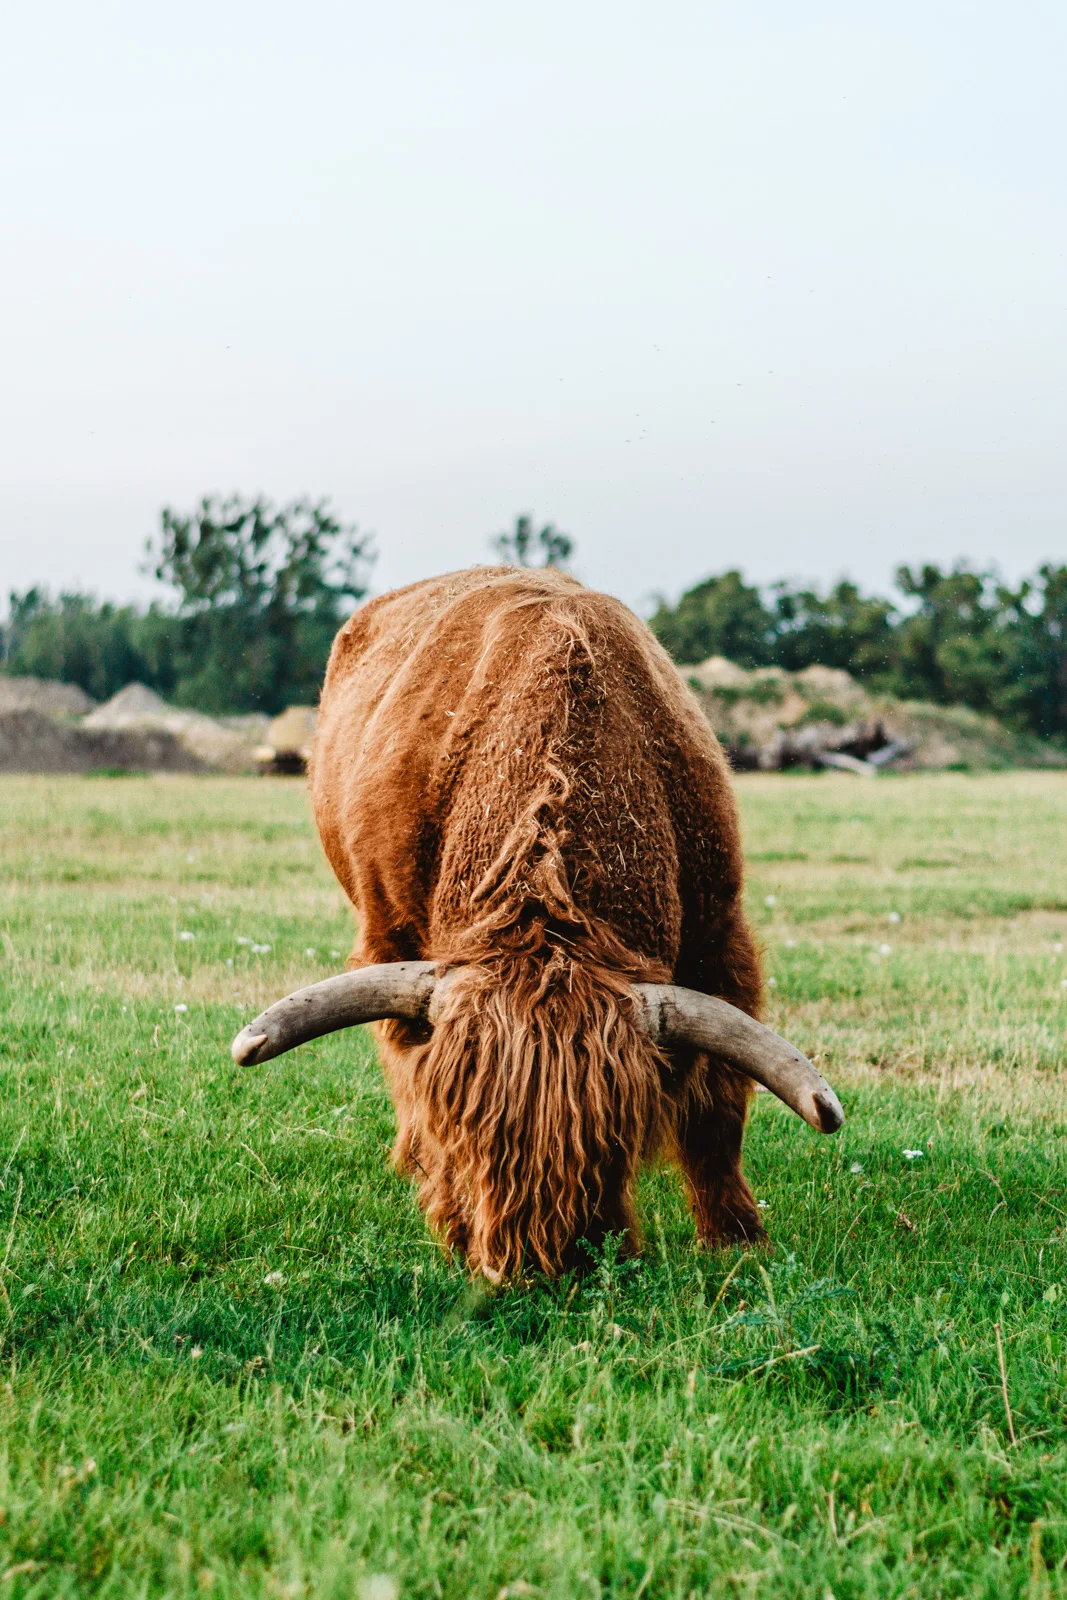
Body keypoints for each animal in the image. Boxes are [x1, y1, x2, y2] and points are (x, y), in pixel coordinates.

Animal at [233, 569, 844, 1280]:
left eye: (614, 1139)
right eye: (466, 1134)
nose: (541, 1266)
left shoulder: (722, 945)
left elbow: (716, 1114)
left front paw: (738, 1238)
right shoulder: (393, 943)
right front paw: (448, 1217)